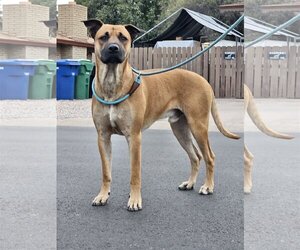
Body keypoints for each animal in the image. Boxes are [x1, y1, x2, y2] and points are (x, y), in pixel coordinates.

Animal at [84, 19, 239, 211]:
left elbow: (135, 174)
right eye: (103, 37)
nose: (113, 48)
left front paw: (134, 200)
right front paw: (103, 196)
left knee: (209, 157)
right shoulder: (103, 137)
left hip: (198, 126)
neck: (112, 84)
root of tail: (204, 80)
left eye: (123, 38)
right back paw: (189, 183)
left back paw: (208, 186)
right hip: (180, 129)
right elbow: (106, 172)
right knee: (195, 157)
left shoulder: (134, 137)